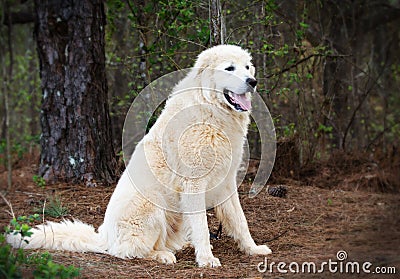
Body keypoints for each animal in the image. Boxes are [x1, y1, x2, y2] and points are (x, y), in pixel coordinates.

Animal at [7, 44, 272, 268]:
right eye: (229, 68)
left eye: (247, 67)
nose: (252, 81)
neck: (211, 111)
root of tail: (103, 237)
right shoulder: (194, 184)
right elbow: (203, 227)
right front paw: (206, 259)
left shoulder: (226, 183)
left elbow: (240, 222)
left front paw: (253, 249)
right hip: (151, 205)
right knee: (131, 251)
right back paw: (163, 255)